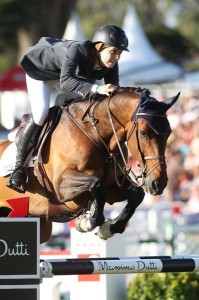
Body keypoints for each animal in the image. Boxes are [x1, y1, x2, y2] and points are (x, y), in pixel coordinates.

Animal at [0, 88, 180, 243]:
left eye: (169, 133)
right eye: (143, 133)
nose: (159, 183)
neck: (95, 135)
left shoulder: (114, 187)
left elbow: (136, 194)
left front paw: (108, 228)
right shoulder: (61, 187)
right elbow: (97, 185)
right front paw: (89, 221)